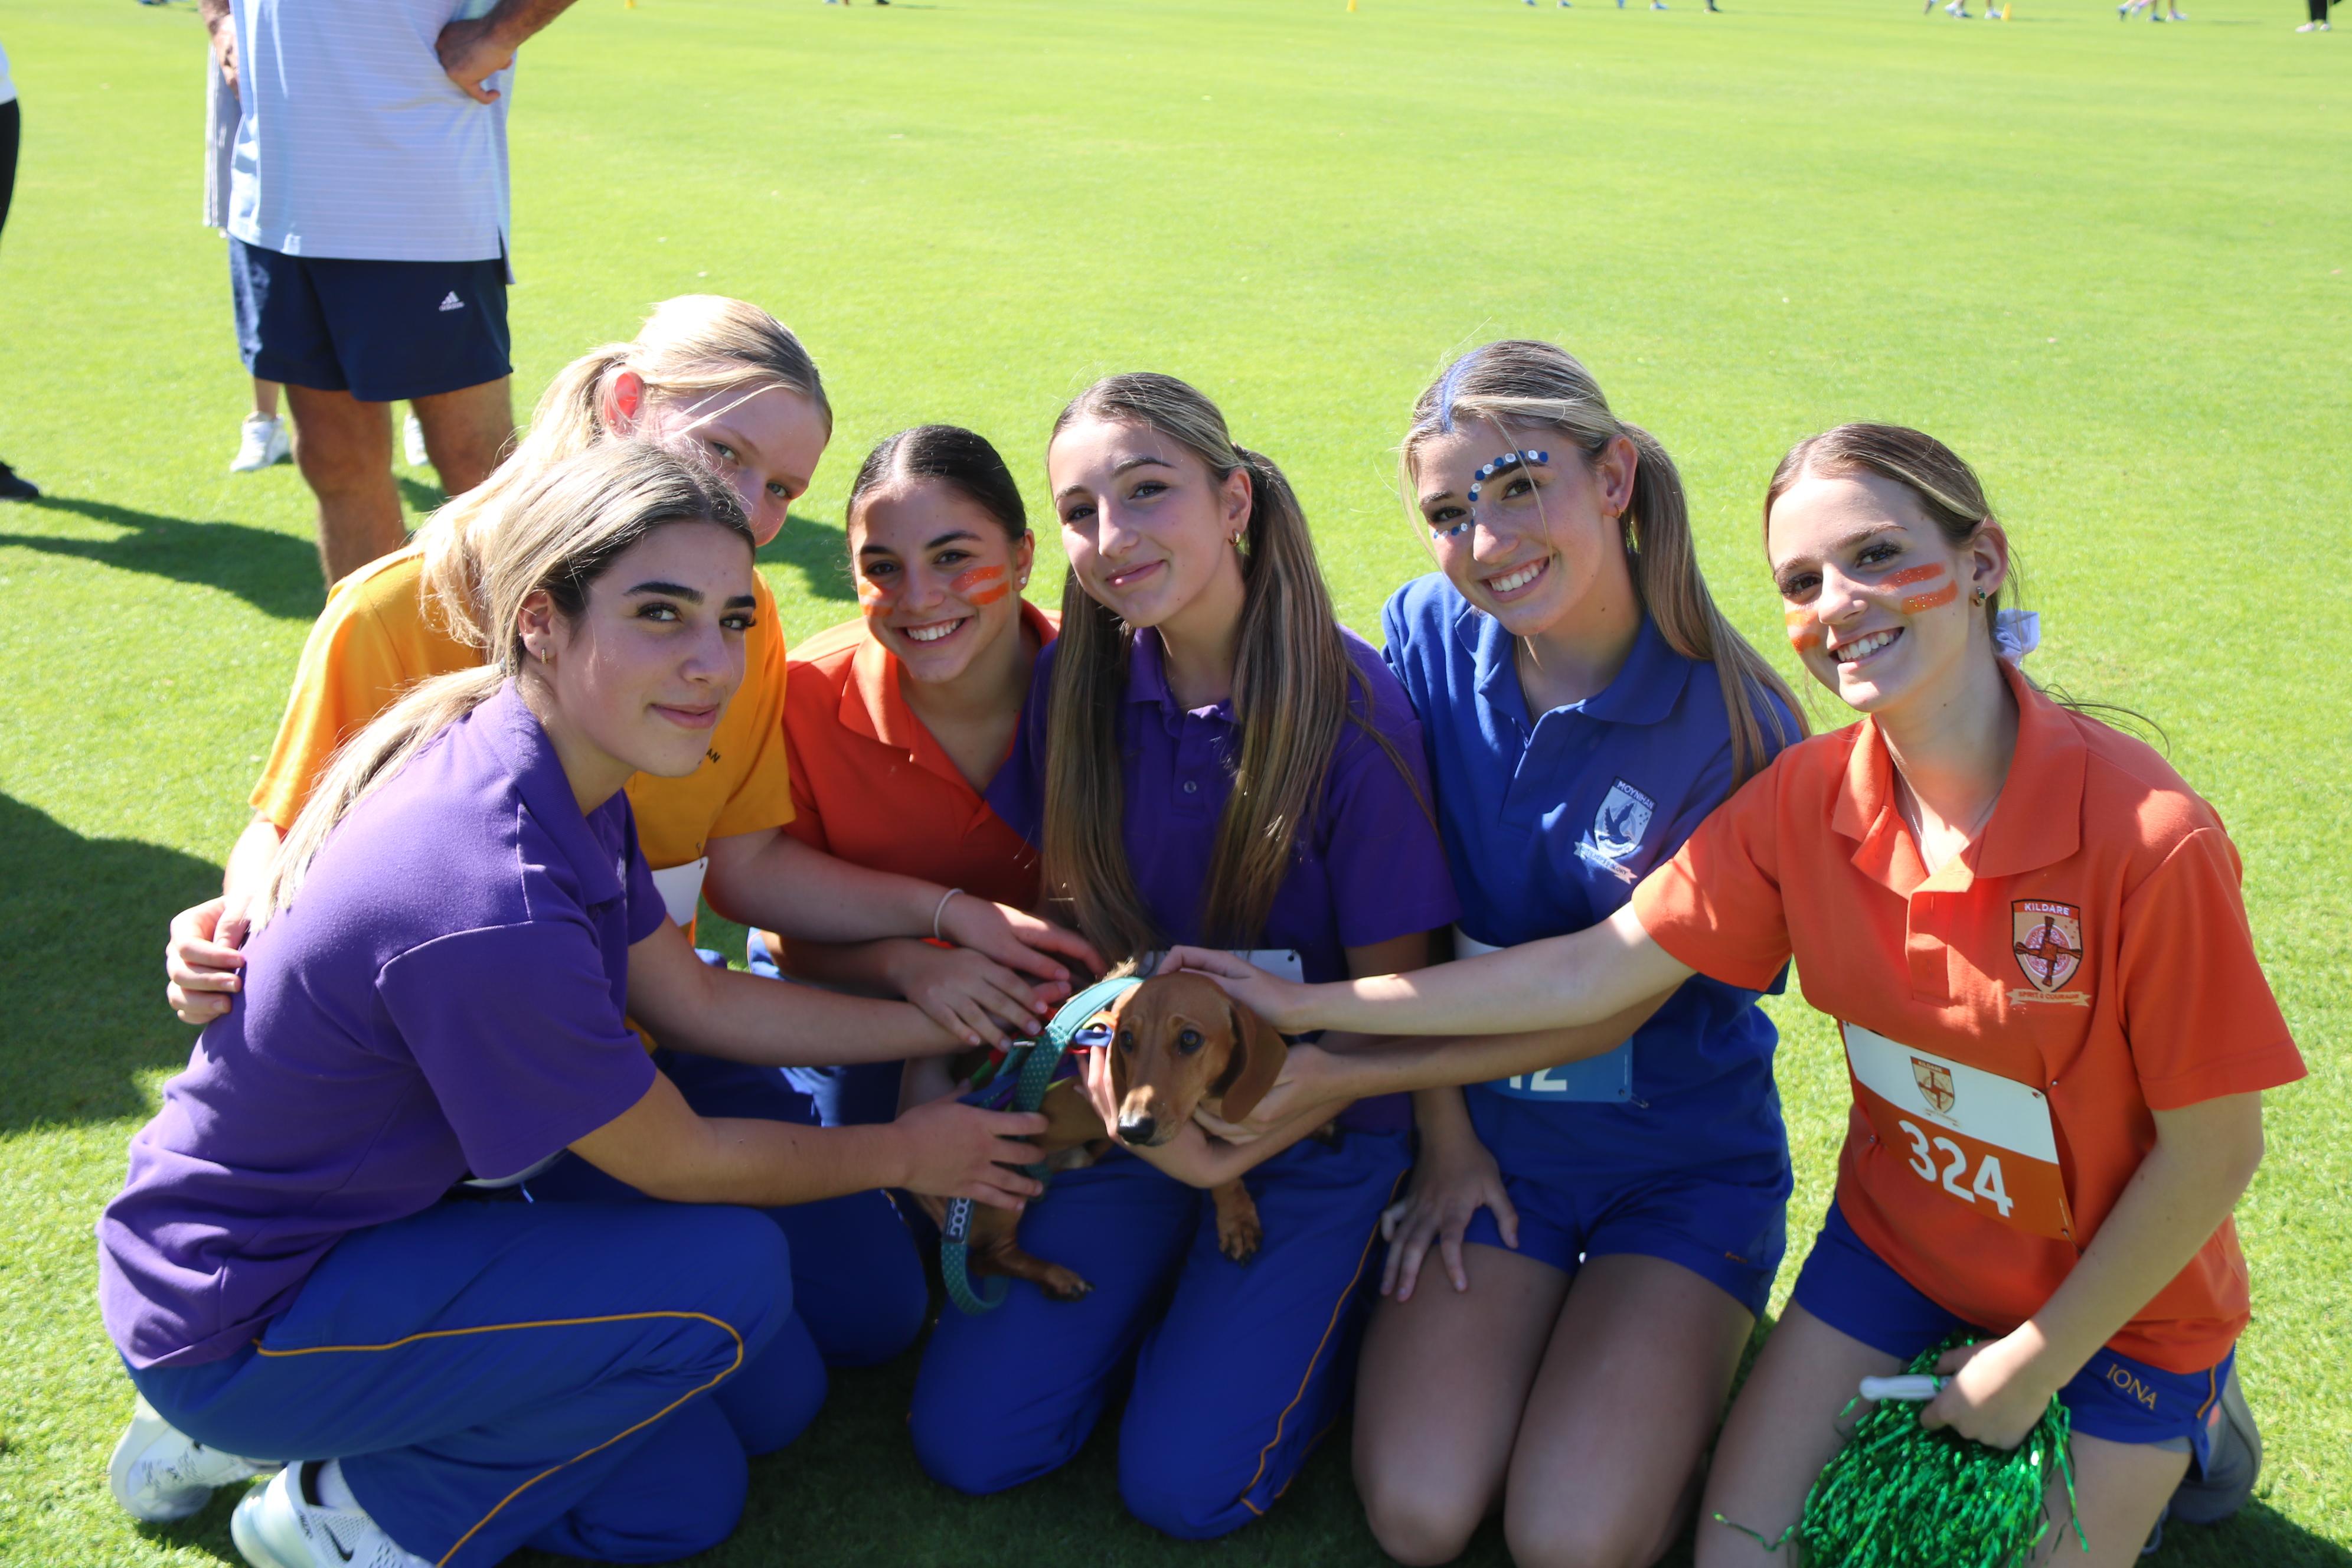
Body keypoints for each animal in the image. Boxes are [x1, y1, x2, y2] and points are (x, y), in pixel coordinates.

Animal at [936, 971, 1291, 1302]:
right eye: (1127, 1039)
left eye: (1190, 1039)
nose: (1130, 1129)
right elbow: (1219, 1174)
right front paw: (1236, 1219)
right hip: (1002, 1196)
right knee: (987, 1259)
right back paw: (1057, 1278)